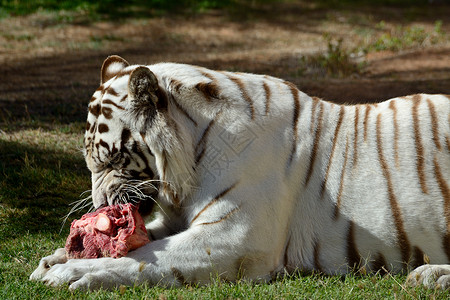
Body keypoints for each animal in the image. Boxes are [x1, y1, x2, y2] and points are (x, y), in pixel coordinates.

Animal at [30, 55, 450, 290]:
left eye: (112, 160)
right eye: (90, 163)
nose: (100, 206)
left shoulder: (234, 236)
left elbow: (146, 258)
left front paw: (72, 273)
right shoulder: (180, 220)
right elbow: (146, 242)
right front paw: (57, 258)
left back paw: (430, 276)